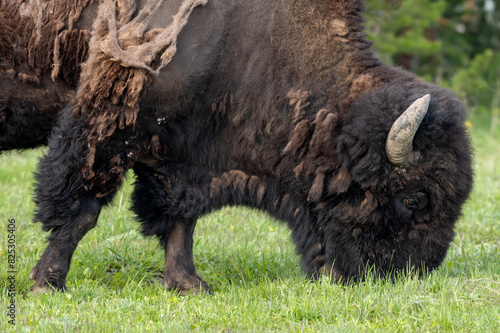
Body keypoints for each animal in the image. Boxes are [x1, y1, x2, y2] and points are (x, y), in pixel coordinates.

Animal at [0, 0, 472, 294]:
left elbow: (180, 218)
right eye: (413, 199)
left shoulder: (182, 150)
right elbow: (82, 207)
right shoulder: (112, 120)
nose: (408, 275)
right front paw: (47, 283)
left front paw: (189, 285)